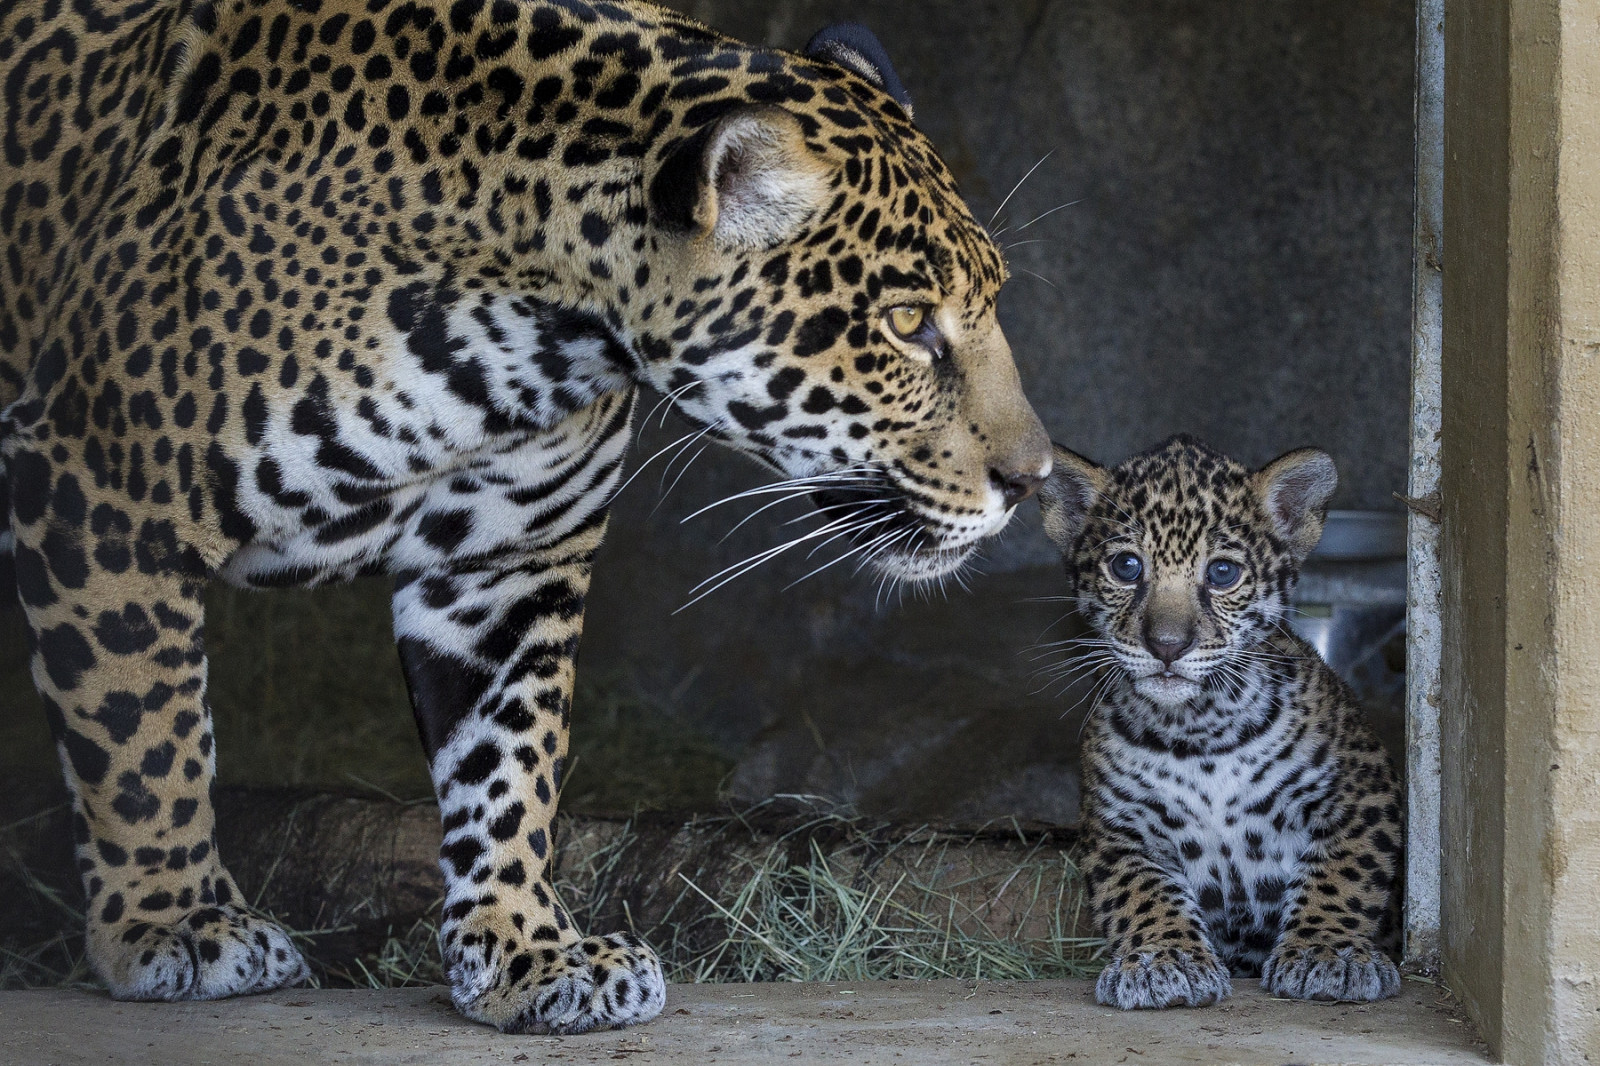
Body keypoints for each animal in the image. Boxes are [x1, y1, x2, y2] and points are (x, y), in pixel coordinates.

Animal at [0, 0, 1053, 1033]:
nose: (1033, 478)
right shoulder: (96, 492)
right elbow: (144, 735)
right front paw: (174, 924)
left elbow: (509, 762)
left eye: (994, 298)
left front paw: (527, 952)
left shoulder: (506, 561)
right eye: (908, 325)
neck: (528, 331)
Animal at [1037, 435, 1403, 1009]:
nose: (1167, 645)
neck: (1200, 730)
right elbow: (1143, 891)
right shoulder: (1118, 828)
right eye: (1126, 566)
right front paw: (1163, 960)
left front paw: (1328, 953)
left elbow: (1343, 874)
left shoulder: (1363, 793)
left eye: (1222, 573)